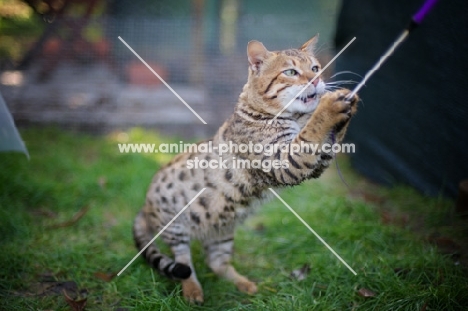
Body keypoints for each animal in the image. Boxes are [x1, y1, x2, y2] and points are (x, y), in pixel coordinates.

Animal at [132, 35, 358, 304]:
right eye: (291, 72)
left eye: (315, 68)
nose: (316, 80)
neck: (293, 118)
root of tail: (144, 206)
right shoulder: (282, 160)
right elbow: (312, 132)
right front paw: (330, 106)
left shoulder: (312, 162)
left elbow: (325, 140)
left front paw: (348, 103)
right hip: (177, 228)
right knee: (183, 263)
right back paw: (193, 290)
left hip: (222, 232)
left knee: (217, 263)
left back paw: (244, 284)